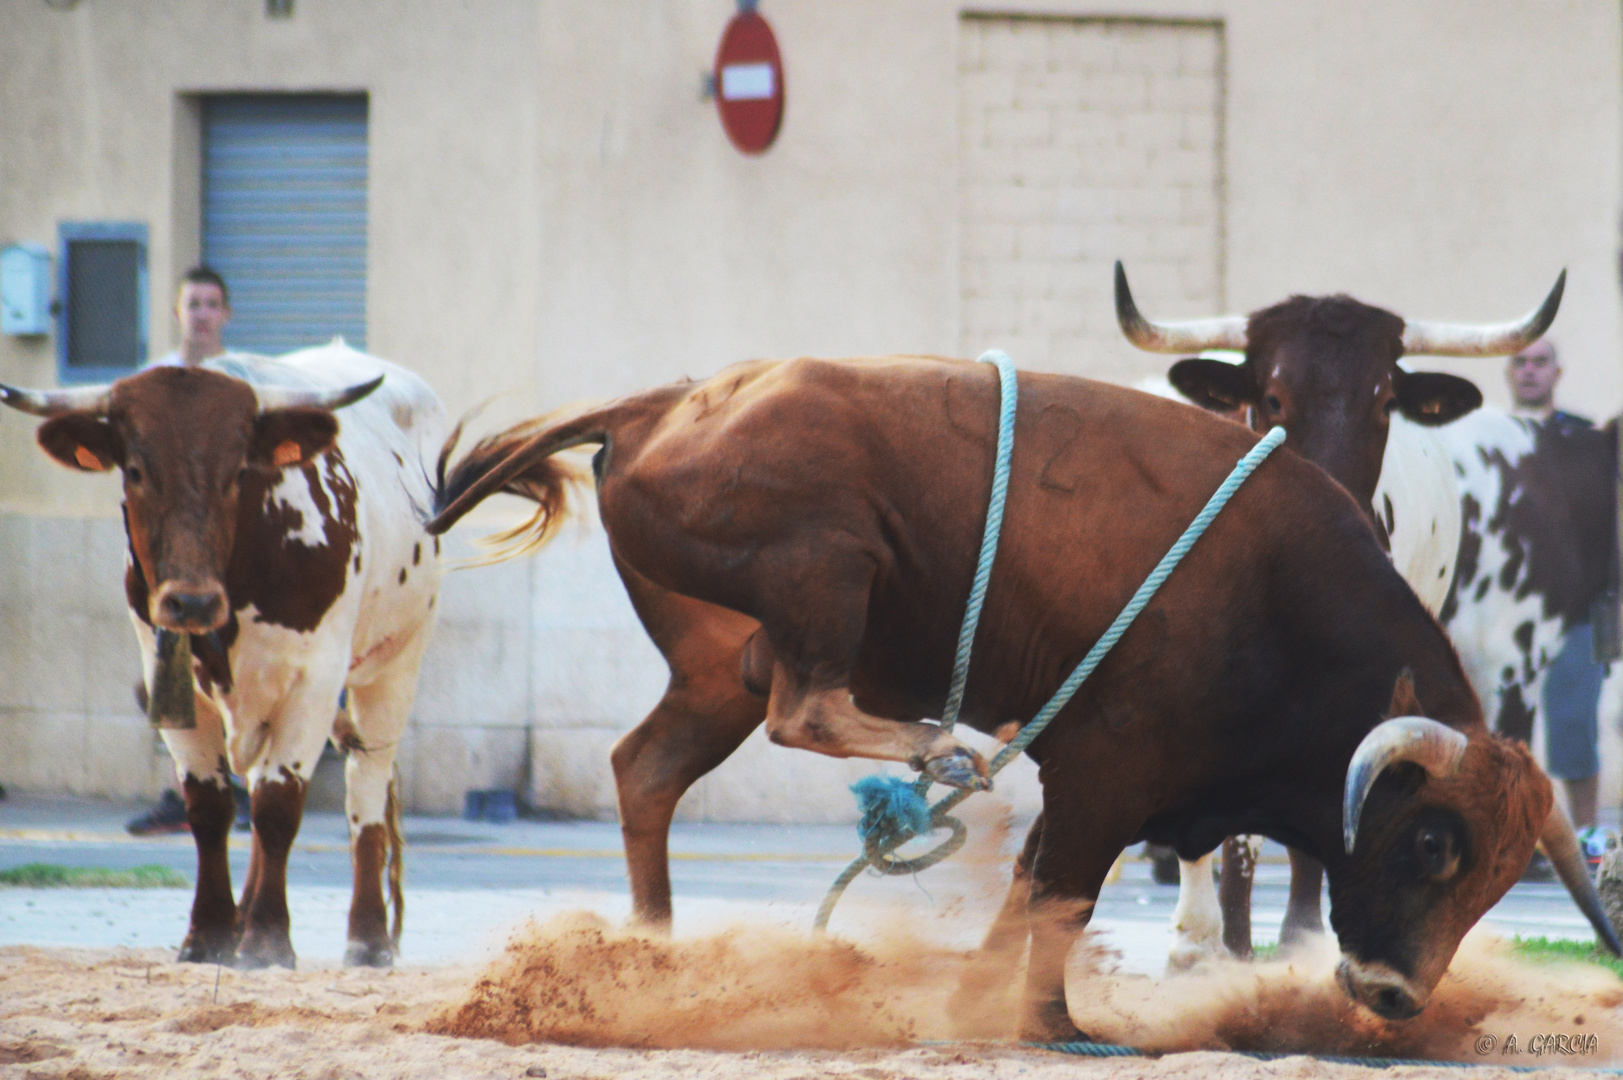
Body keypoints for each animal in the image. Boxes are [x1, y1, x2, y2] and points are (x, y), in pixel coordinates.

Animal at [428, 360, 1597, 1039]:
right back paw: (936, 748)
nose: (1396, 997)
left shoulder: (1095, 780)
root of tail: (668, 402)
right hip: (826, 570)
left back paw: (656, 954)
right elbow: (1061, 897)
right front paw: (1052, 1024)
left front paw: (977, 1002)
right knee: (802, 709)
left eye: (1505, 875)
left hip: (718, 675)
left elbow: (1031, 886)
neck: (1278, 597)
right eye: (1432, 842)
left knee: (647, 770)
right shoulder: (1107, 772)